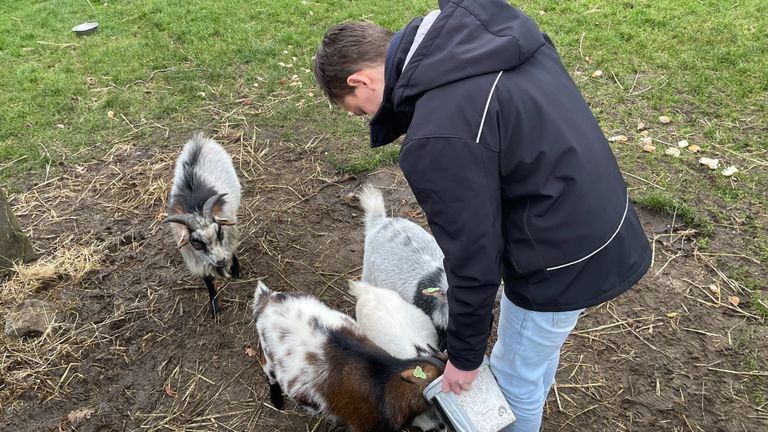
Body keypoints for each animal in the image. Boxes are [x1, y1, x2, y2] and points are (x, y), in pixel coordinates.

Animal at [164, 133, 242, 316]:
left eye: (219, 232)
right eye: (196, 242)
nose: (221, 261)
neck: (196, 210)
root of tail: (199, 140)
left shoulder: (228, 233)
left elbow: (232, 249)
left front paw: (235, 270)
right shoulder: (196, 257)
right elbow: (208, 280)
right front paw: (214, 307)